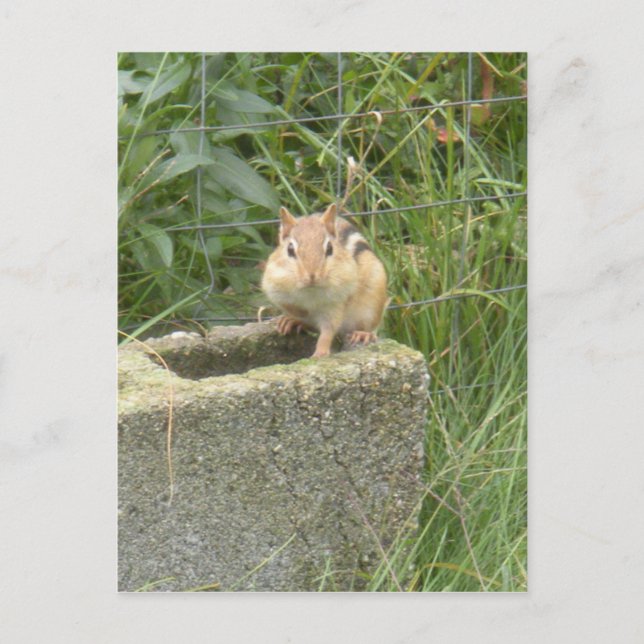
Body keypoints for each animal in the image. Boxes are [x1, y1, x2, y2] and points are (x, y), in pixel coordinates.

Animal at [261, 203, 388, 358]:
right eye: (290, 249)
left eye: (329, 248)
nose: (312, 276)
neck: (310, 292)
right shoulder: (274, 285)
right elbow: (292, 307)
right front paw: (297, 315)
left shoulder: (335, 303)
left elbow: (328, 330)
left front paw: (320, 353)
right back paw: (292, 321)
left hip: (371, 306)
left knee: (365, 327)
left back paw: (363, 334)